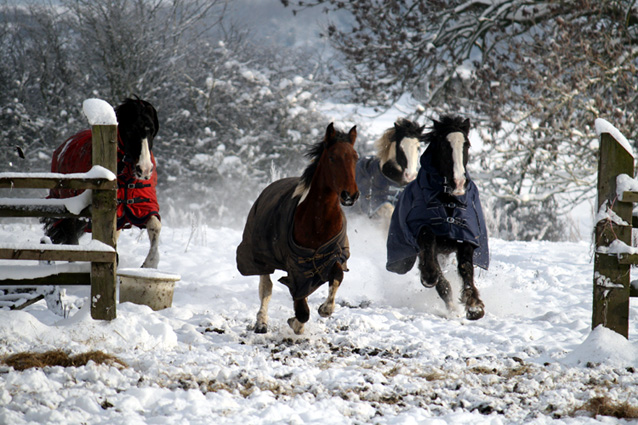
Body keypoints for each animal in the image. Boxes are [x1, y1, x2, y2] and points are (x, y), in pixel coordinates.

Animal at [239, 122, 360, 334]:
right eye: (332, 157)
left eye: (355, 157)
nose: (350, 195)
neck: (319, 221)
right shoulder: (296, 267)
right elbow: (301, 306)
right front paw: (295, 323)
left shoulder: (333, 256)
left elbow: (336, 277)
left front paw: (324, 309)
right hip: (262, 257)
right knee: (266, 287)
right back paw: (261, 323)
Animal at [384, 114, 490, 320]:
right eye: (443, 146)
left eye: (466, 144)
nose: (458, 183)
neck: (447, 200)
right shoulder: (423, 230)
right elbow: (435, 272)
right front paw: (429, 277)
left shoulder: (465, 235)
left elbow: (466, 269)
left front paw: (474, 307)